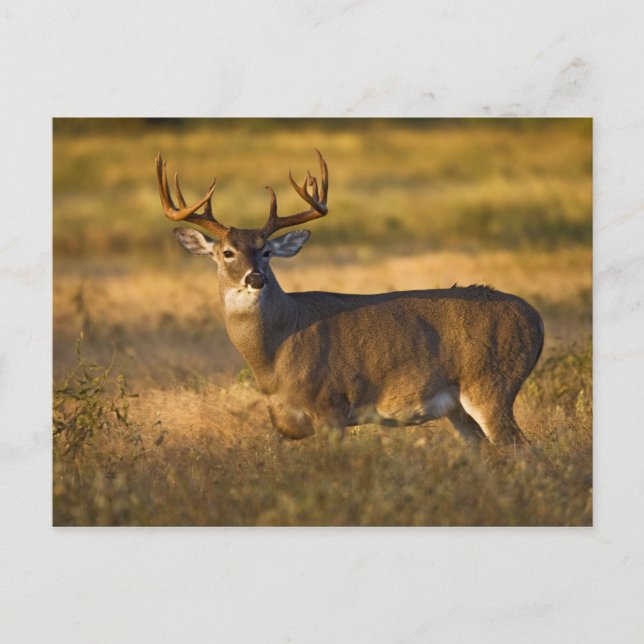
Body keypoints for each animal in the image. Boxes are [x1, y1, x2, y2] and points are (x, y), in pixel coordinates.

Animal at [154, 150, 544, 446]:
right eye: (227, 252)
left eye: (266, 251)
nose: (255, 278)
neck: (276, 353)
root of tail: (536, 320)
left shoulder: (330, 404)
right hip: (459, 409)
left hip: (491, 384)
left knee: (523, 450)